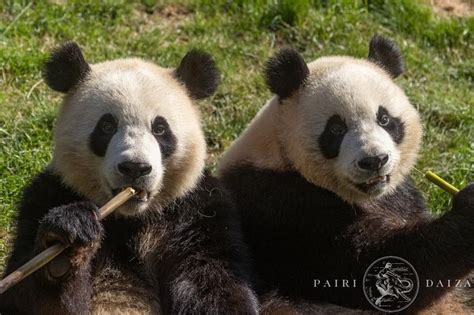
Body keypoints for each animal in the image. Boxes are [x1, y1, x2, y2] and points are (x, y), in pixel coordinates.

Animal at [0, 42, 258, 315]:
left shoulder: (198, 215)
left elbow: (212, 284)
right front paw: (67, 241)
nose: (135, 168)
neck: (130, 219)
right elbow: (29, 300)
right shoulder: (47, 196)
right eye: (106, 126)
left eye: (160, 129)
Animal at [219, 35, 474, 314]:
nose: (374, 161)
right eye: (336, 129)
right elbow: (363, 266)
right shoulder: (281, 205)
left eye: (384, 119)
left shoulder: (401, 197)